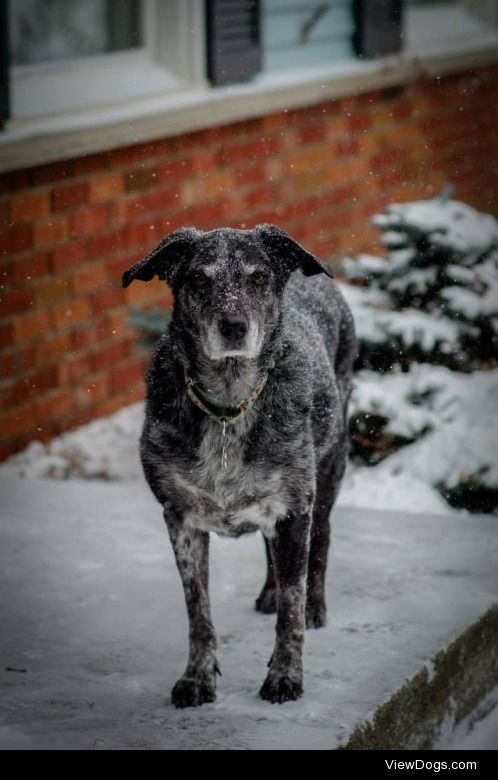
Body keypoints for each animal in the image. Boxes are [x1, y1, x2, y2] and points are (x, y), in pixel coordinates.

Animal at [122, 224, 356, 708]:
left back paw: (315, 604)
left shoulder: (293, 507)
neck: (229, 405)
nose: (233, 326)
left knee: (321, 539)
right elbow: (198, 611)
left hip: (328, 470)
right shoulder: (180, 517)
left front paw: (285, 676)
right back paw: (269, 591)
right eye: (199, 279)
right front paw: (196, 679)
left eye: (258, 278)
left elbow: (291, 612)